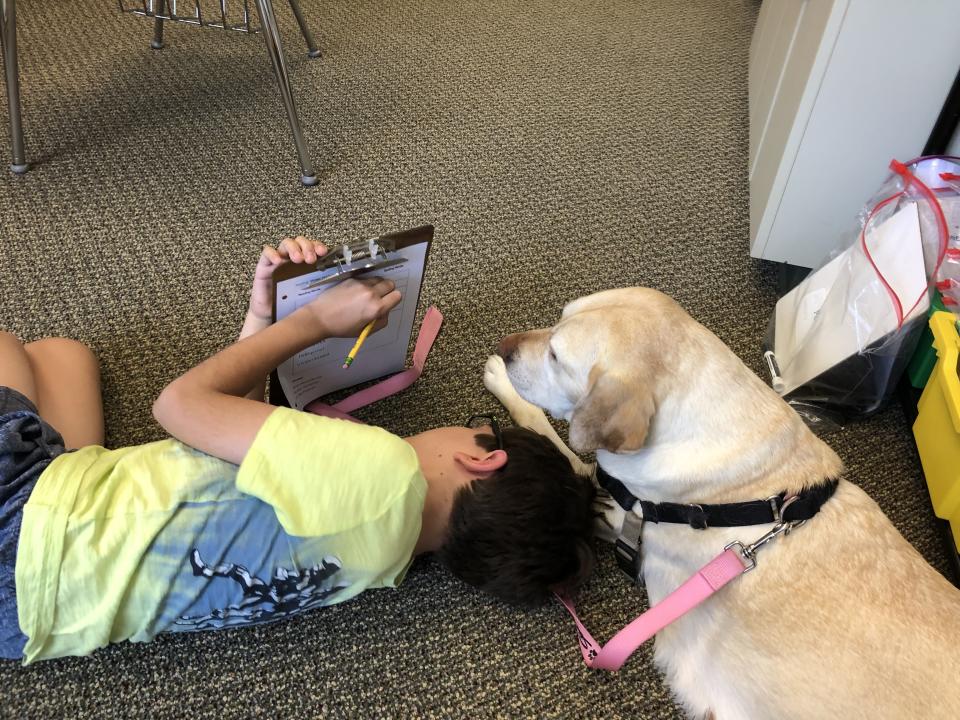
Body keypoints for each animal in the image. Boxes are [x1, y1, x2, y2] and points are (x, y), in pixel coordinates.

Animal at [484, 286, 960, 720]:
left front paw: (502, 384)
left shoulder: (609, 508)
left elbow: (548, 434)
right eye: (558, 320)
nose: (504, 348)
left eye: (556, 357)